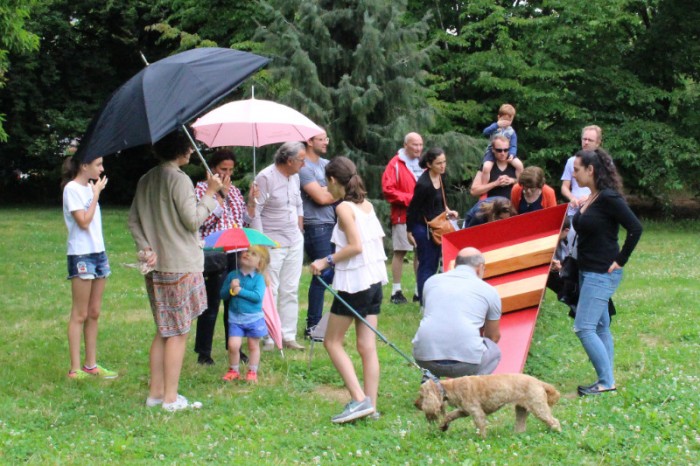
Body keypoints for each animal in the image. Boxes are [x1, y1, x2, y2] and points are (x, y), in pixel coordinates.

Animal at [416, 372, 564, 436]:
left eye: (421, 396)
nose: (415, 404)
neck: (450, 387)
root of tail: (539, 382)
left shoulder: (476, 412)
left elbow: (480, 426)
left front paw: (481, 439)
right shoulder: (464, 410)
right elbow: (450, 415)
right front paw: (443, 426)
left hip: (538, 407)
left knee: (554, 421)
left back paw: (556, 432)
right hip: (521, 409)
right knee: (521, 426)